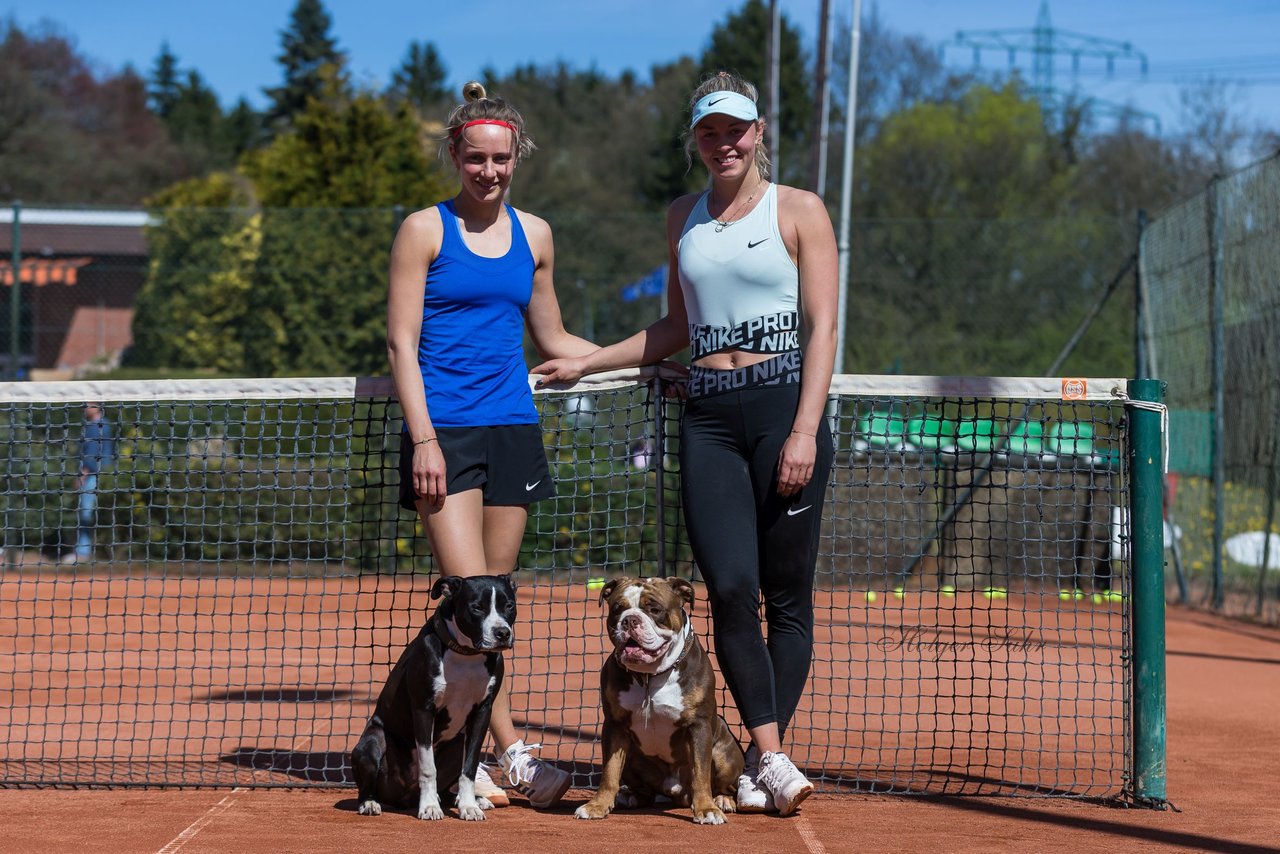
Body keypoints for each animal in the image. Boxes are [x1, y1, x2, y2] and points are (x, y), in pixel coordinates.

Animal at [350, 573, 514, 819]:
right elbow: (428, 767)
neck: (465, 654)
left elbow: (470, 767)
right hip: (372, 742)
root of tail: (402, 796)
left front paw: (469, 806)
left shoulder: (483, 712)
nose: (502, 633)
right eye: (477, 608)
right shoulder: (424, 709)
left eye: (509, 605)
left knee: (448, 786)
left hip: (457, 745)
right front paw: (429, 807)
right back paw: (370, 803)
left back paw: (471, 800)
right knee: (368, 787)